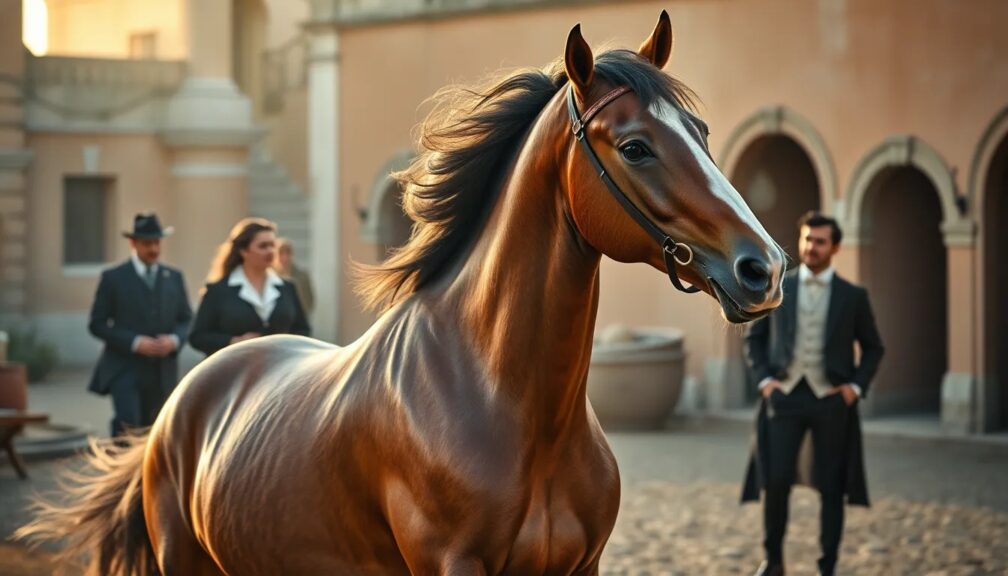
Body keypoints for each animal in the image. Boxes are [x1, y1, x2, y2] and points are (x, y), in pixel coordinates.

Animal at [20, 11, 784, 575]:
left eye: (702, 132)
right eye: (633, 146)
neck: (509, 404)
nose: (765, 267)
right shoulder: (450, 565)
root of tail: (184, 400)